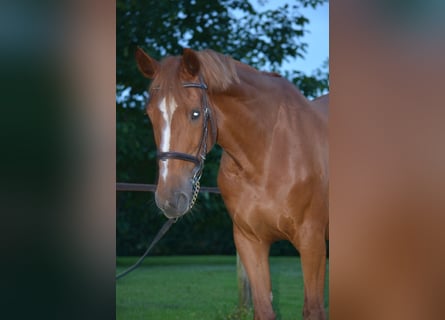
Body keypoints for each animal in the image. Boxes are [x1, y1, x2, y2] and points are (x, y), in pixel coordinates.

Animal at [134, 47, 326, 320]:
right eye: (149, 115)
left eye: (195, 113)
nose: (169, 199)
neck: (269, 152)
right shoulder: (250, 241)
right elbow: (263, 309)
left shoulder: (312, 242)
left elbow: (313, 309)